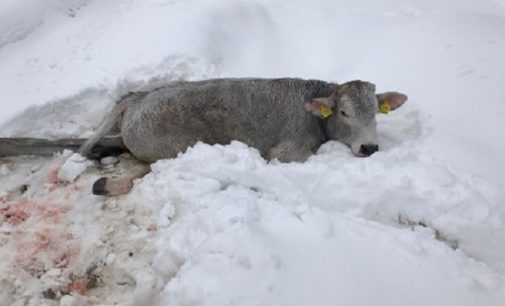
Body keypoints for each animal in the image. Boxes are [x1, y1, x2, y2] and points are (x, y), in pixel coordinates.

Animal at [80, 77, 408, 195]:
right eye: (344, 113)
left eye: (376, 112)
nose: (369, 147)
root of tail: (135, 98)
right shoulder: (288, 151)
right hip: (169, 148)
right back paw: (106, 184)